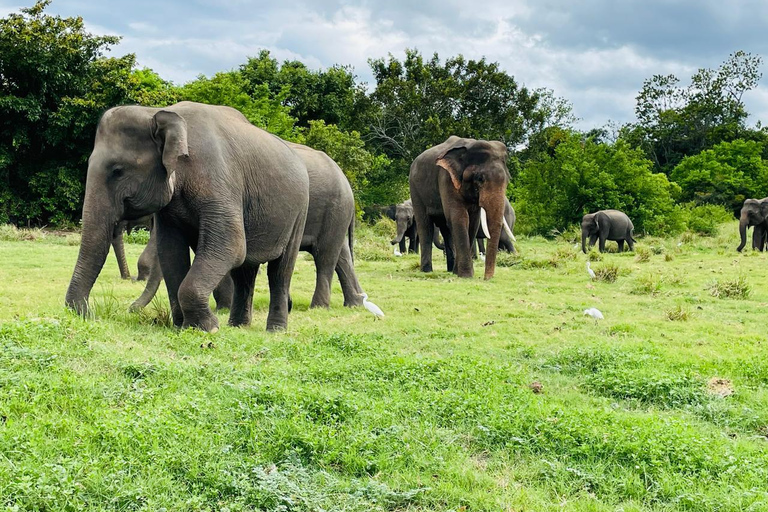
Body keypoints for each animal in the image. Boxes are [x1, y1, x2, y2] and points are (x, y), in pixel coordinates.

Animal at [65, 101, 310, 332]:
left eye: (118, 171)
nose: (89, 313)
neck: (158, 113)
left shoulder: (218, 180)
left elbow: (231, 244)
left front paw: (209, 328)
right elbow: (171, 251)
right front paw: (183, 326)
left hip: (300, 212)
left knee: (280, 271)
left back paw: (275, 330)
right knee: (245, 272)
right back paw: (238, 326)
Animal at [131, 141, 364, 312]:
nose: (131, 308)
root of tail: (345, 179)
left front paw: (225, 308)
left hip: (334, 210)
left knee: (325, 256)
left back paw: (318, 307)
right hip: (336, 214)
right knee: (341, 255)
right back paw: (354, 303)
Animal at [410, 136, 514, 279]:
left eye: (508, 180)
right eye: (480, 179)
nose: (486, 279)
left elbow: (473, 222)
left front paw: (459, 273)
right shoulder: (446, 178)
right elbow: (460, 217)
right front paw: (466, 275)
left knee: (446, 228)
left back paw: (450, 270)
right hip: (415, 189)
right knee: (425, 226)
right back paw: (427, 271)